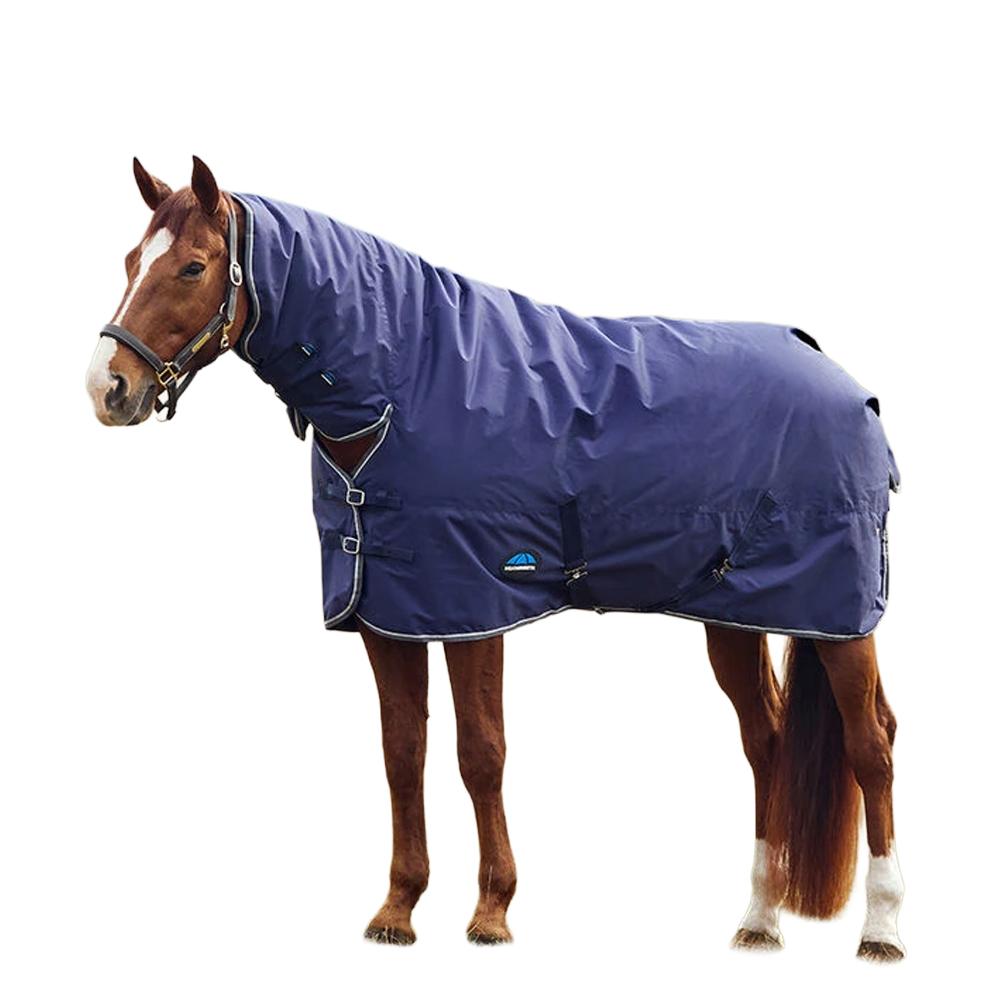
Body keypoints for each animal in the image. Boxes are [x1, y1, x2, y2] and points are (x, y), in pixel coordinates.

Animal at [85, 156, 905, 960]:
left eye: (192, 267)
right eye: (130, 261)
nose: (107, 388)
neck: (405, 386)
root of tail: (849, 385)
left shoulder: (473, 607)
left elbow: (481, 753)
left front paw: (491, 913)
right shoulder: (388, 615)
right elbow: (403, 751)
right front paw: (398, 909)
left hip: (841, 616)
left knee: (872, 744)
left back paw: (883, 929)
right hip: (735, 616)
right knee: (766, 742)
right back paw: (760, 921)